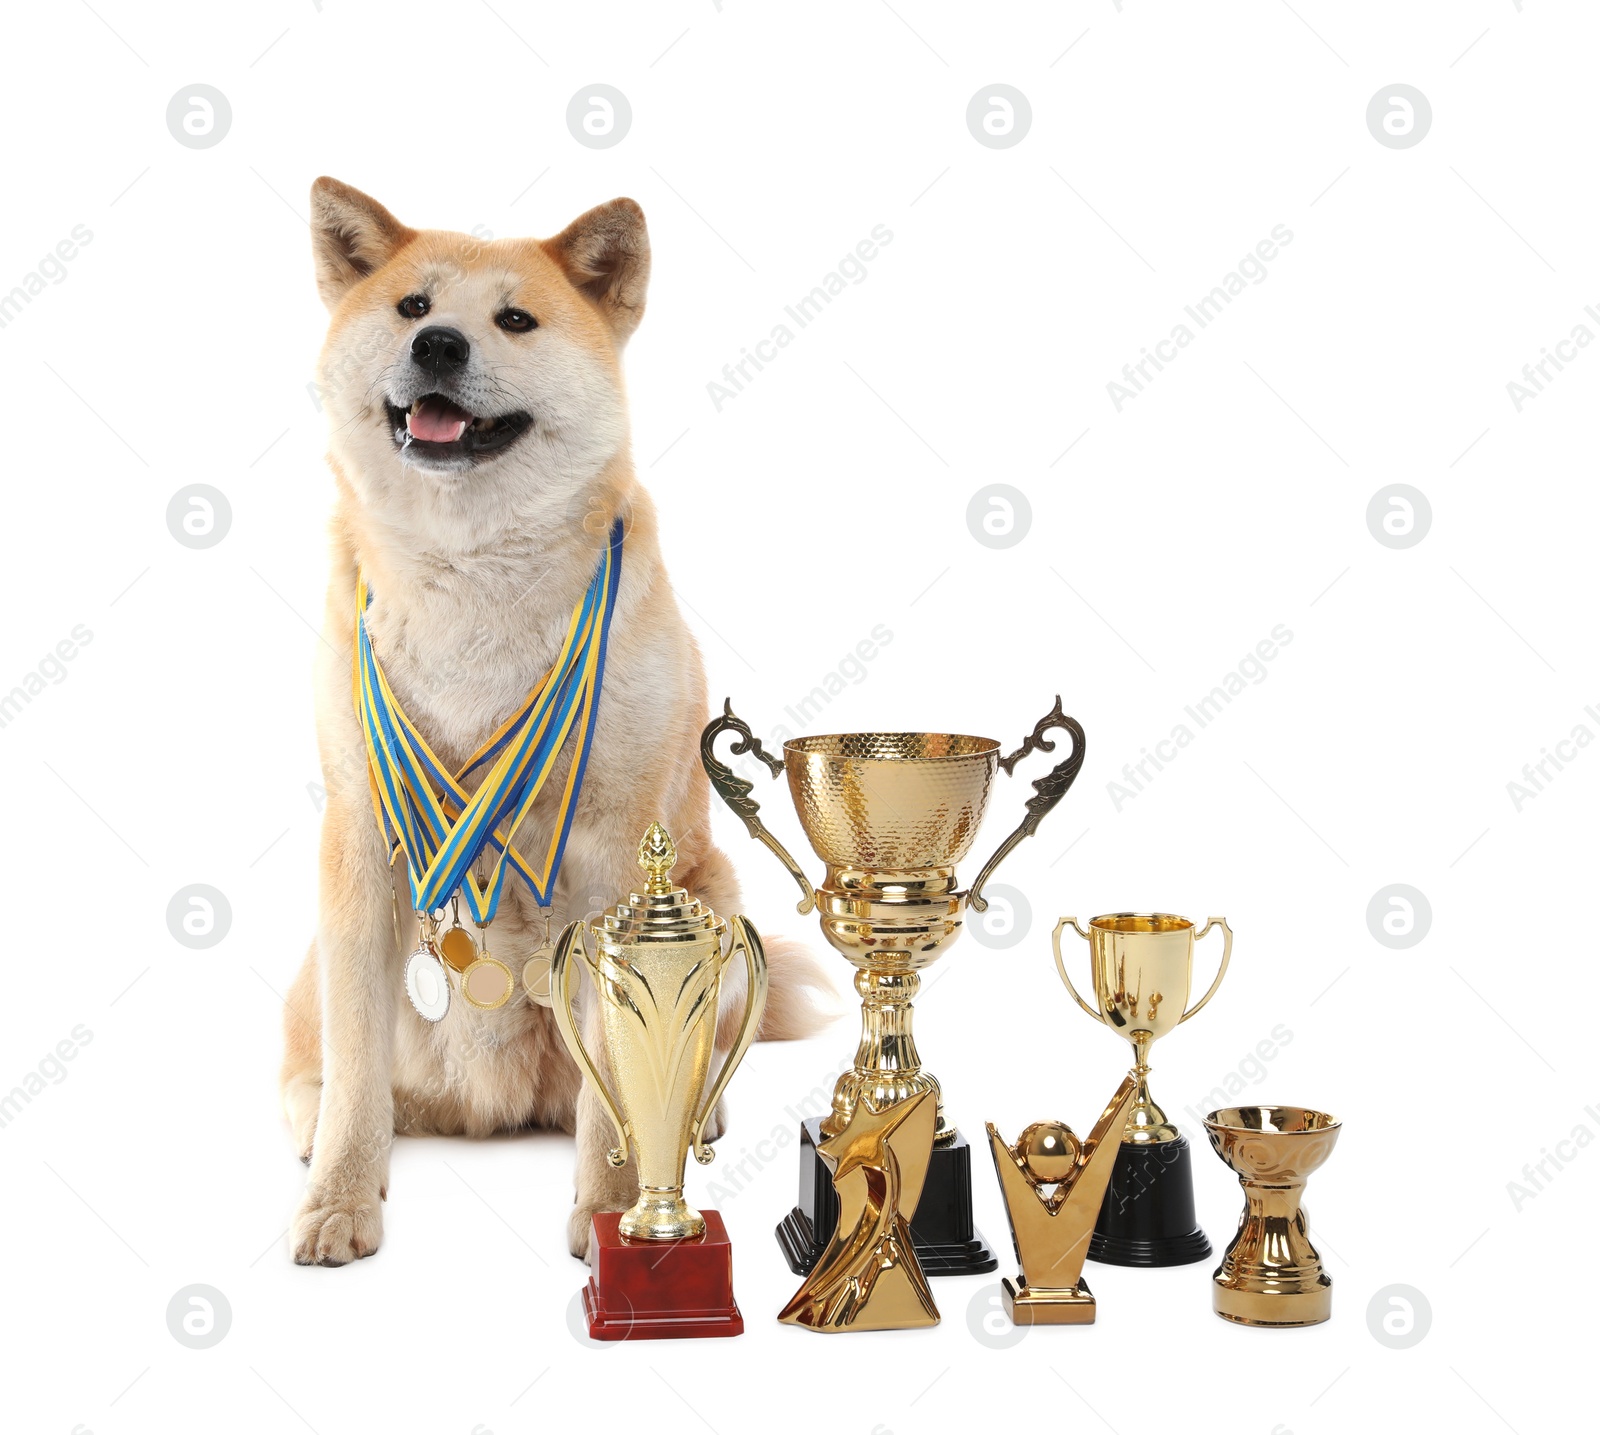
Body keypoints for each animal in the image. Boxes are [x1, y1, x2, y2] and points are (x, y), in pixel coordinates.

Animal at [281, 175, 825, 1267]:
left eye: (515, 320)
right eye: (412, 306)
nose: (439, 345)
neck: (470, 577)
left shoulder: (619, 849)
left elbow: (618, 1068)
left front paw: (618, 1215)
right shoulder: (358, 842)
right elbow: (357, 1069)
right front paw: (340, 1199)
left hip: (716, 895)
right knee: (325, 1069)